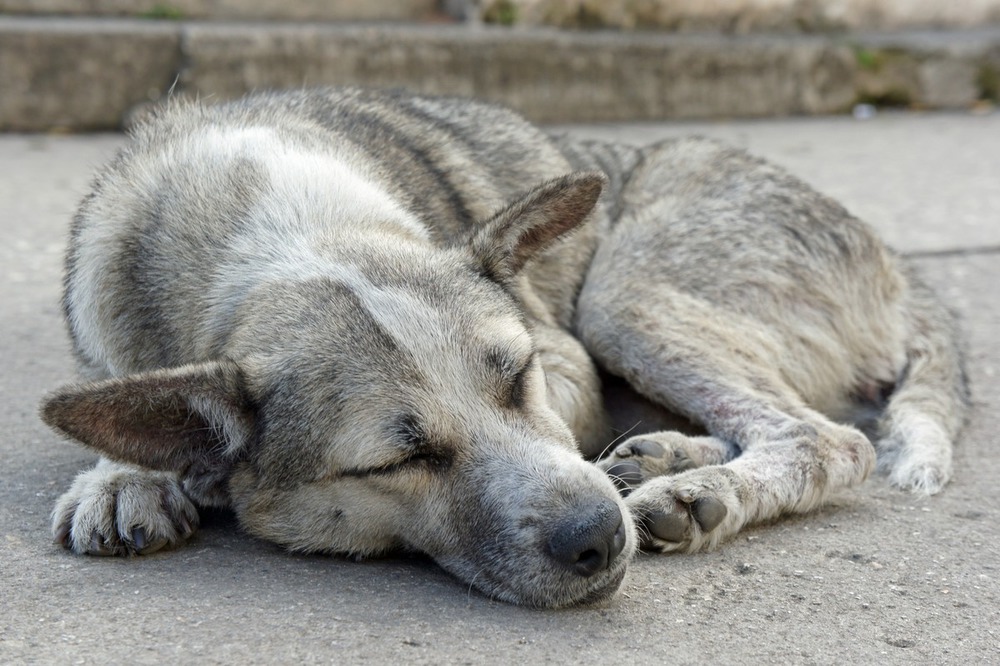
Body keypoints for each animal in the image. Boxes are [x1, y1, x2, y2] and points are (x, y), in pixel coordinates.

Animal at [41, 88, 968, 608]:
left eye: (518, 377)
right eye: (396, 461)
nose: (599, 539)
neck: (269, 231)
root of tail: (892, 256)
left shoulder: (564, 358)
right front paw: (126, 471)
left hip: (623, 295)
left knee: (827, 435)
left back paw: (699, 489)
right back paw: (664, 456)